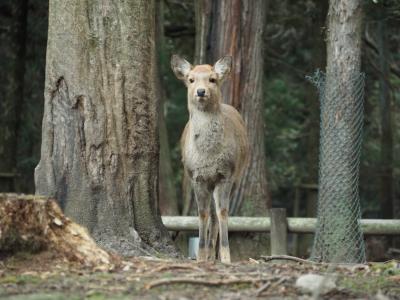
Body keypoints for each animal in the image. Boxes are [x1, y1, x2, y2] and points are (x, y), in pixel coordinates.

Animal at [171, 55, 250, 264]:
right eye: (191, 79)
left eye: (212, 79)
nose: (200, 91)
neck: (208, 156)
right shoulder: (196, 176)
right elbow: (202, 213)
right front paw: (200, 256)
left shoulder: (226, 175)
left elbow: (223, 212)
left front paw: (226, 256)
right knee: (211, 215)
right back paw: (208, 253)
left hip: (236, 176)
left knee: (217, 214)